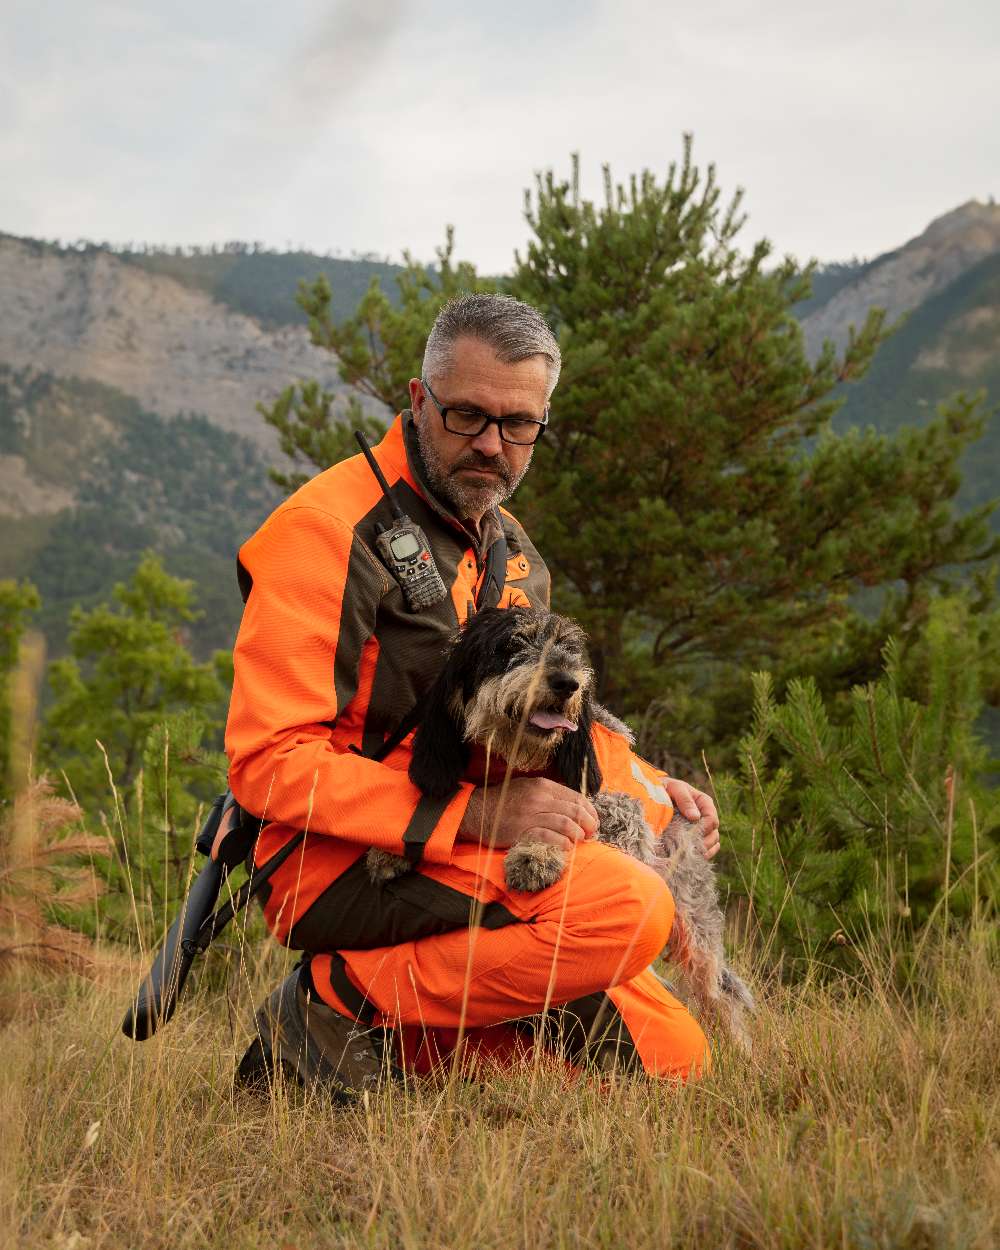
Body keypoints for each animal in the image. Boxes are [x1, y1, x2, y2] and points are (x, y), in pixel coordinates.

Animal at [370, 610, 755, 1050]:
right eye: (512, 644)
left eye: (570, 649)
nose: (567, 682)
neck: (515, 758)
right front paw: (390, 847)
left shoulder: (618, 811)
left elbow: (572, 814)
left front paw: (536, 852)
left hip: (692, 911)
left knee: (719, 989)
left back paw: (740, 1051)